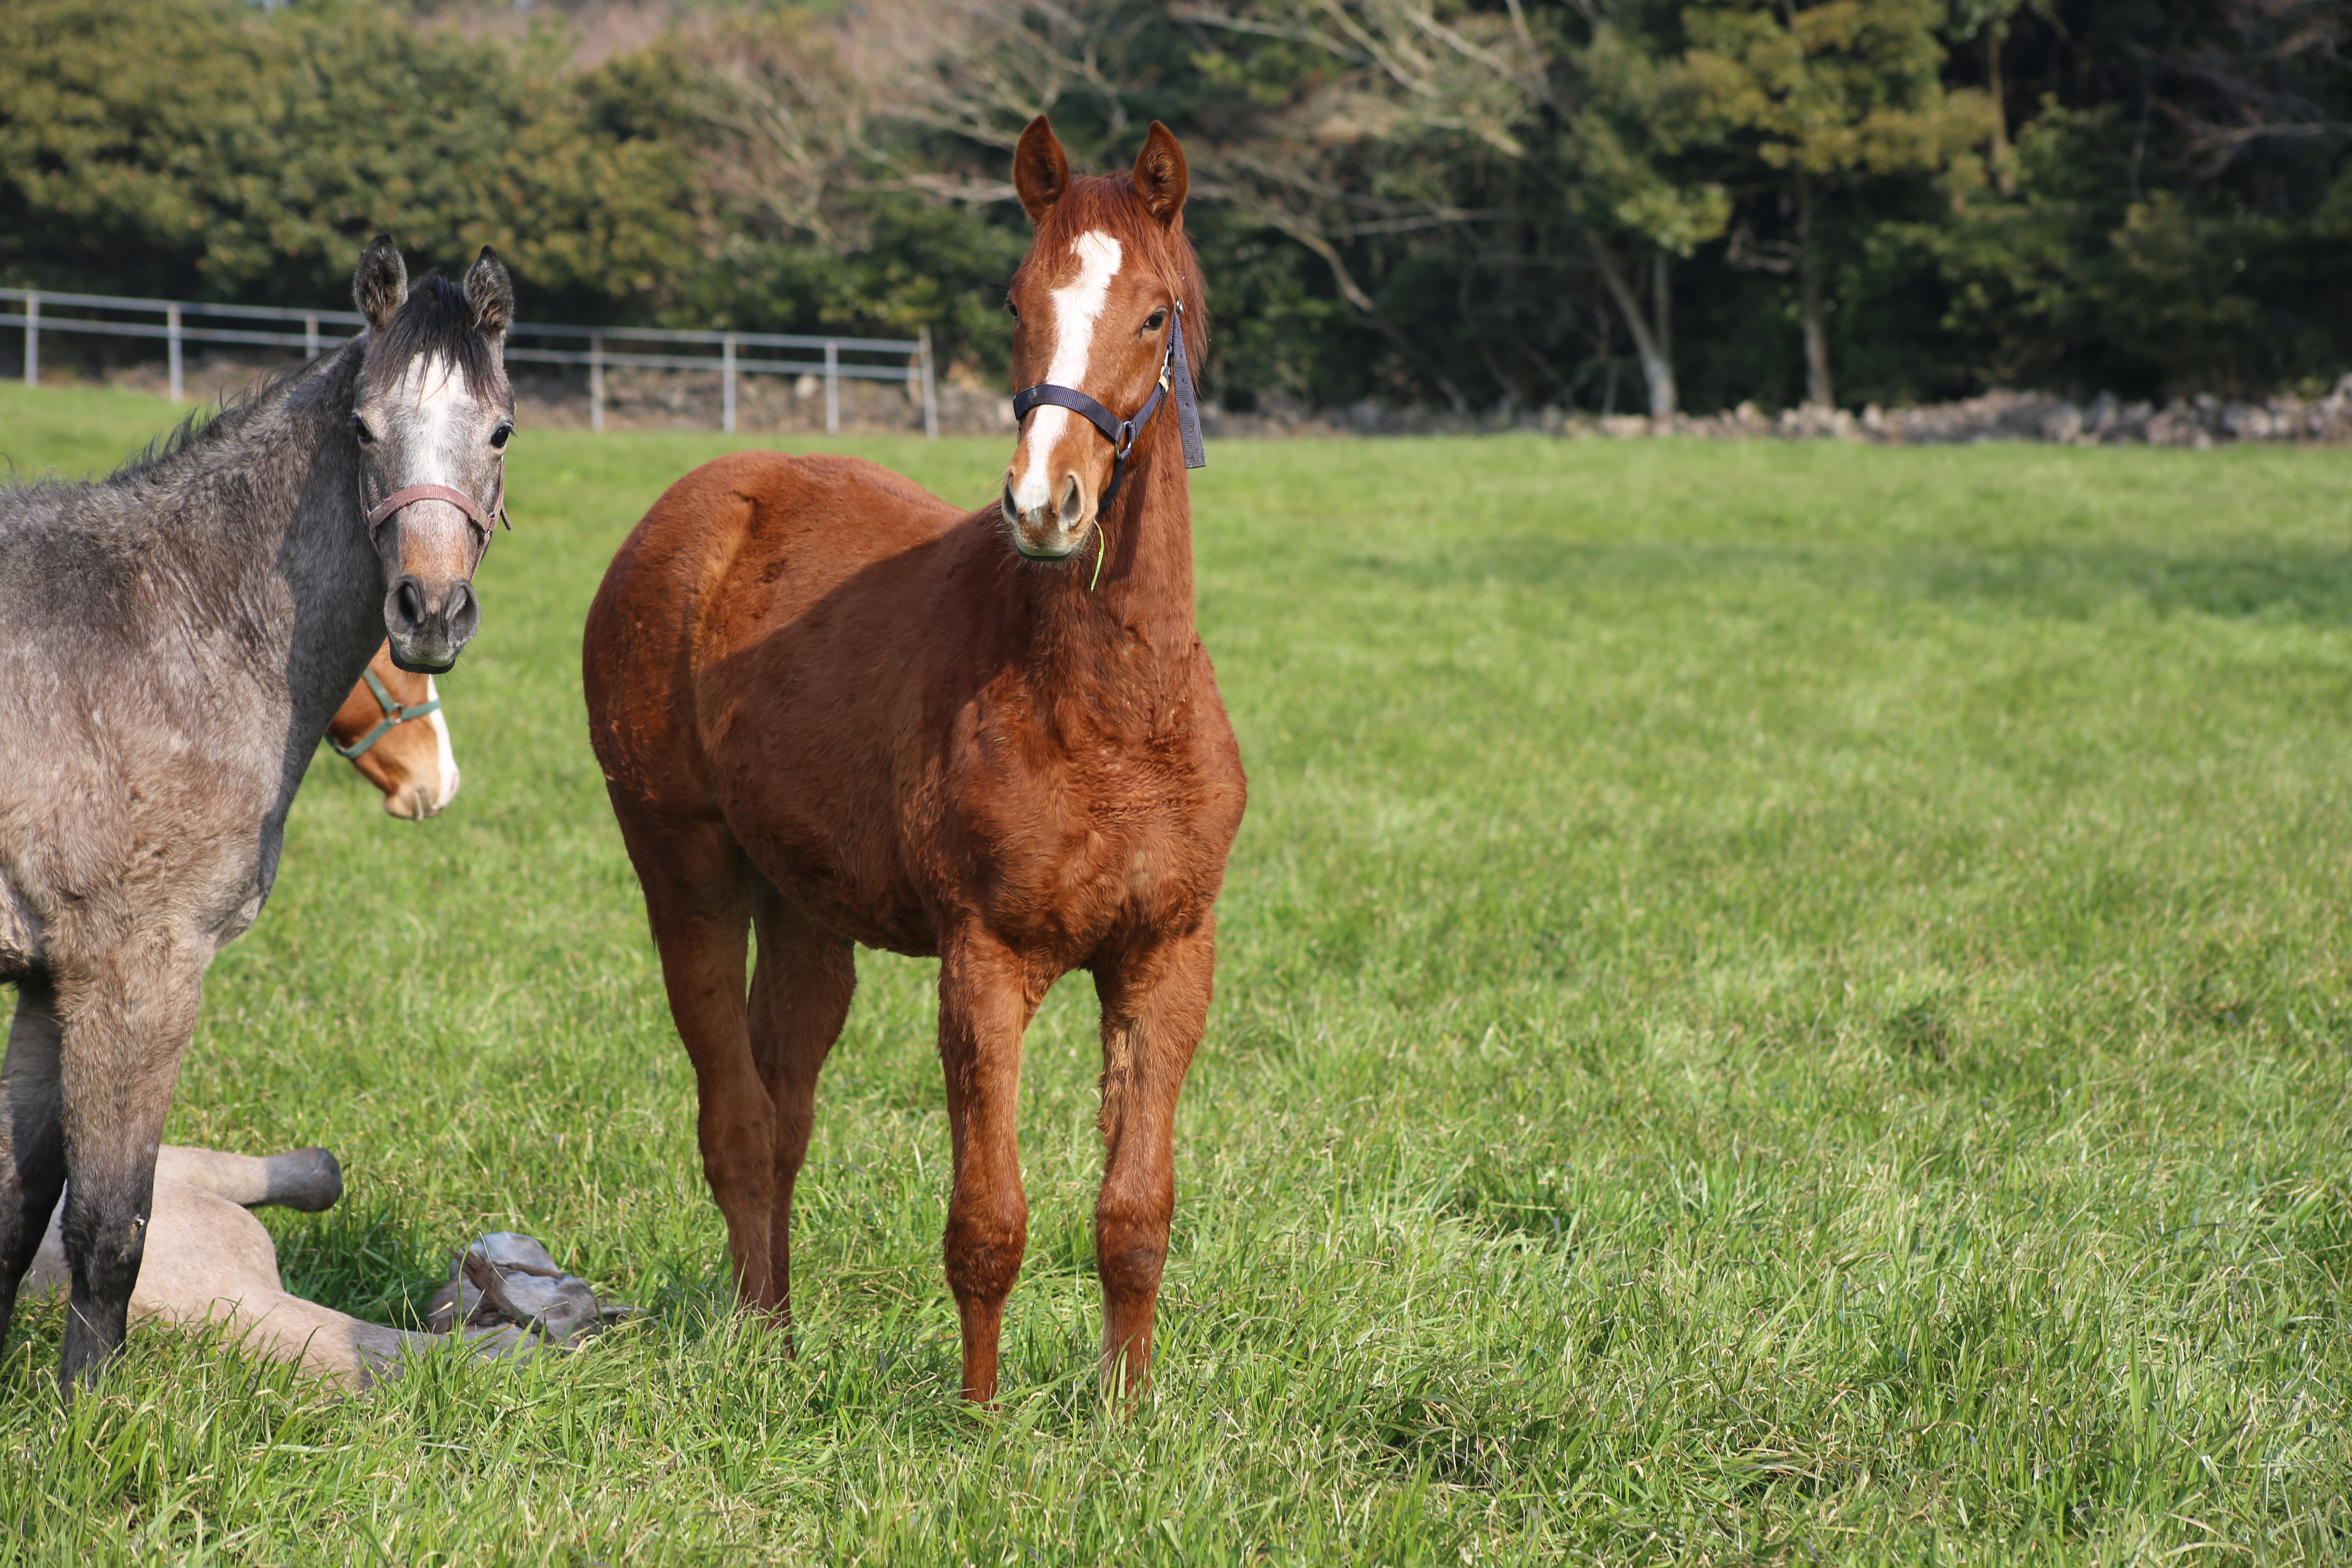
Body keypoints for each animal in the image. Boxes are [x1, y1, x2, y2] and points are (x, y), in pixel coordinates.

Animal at [0, 240, 512, 1392]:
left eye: (500, 429)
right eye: (364, 428)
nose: (429, 612)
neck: (167, 627)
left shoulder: (51, 988)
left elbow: (17, 1211)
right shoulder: (135, 976)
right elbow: (109, 1226)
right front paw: (87, 1416)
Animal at [583, 116, 1251, 1401]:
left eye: (1154, 315)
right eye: (1017, 302)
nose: (1045, 503)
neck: (1112, 713)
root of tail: (699, 500)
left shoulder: (1166, 959)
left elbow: (1135, 1213)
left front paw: (1128, 1414)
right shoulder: (983, 961)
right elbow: (987, 1218)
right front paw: (981, 1416)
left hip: (806, 908)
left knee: (781, 1109)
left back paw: (780, 1336)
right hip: (685, 873)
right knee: (735, 1119)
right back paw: (759, 1353)